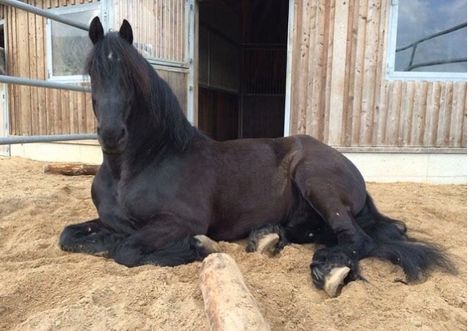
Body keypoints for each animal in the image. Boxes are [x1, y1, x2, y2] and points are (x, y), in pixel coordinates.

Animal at [59, 17, 454, 298]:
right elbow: (69, 236)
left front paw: (195, 246)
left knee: (358, 240)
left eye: (131, 75)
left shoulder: (181, 220)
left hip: (315, 180)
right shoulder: (107, 220)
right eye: (93, 72)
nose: (112, 134)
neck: (136, 168)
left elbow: (126, 250)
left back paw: (329, 271)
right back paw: (268, 237)